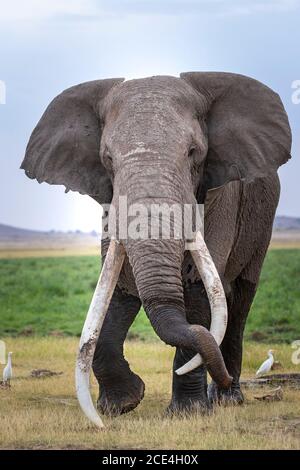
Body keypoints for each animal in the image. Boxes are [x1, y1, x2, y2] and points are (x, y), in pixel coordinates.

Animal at [20, 70, 290, 426]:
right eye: (107, 158)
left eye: (193, 152)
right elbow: (115, 289)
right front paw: (122, 404)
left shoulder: (220, 197)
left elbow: (198, 293)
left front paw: (188, 413)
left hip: (262, 223)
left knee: (241, 300)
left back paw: (227, 398)